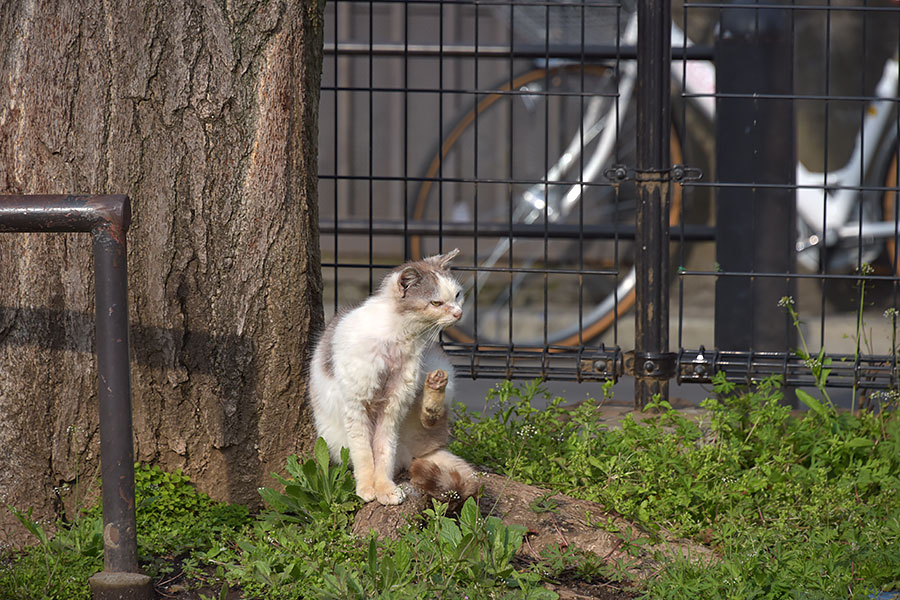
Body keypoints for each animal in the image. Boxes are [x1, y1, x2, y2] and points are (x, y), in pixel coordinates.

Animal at [308, 248, 478, 506]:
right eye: (436, 302)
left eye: (457, 295)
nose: (459, 313)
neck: (400, 337)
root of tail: (413, 454)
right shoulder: (357, 406)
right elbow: (363, 453)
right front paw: (367, 489)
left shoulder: (392, 407)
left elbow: (383, 451)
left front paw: (385, 489)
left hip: (435, 366)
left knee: (432, 420)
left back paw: (434, 388)